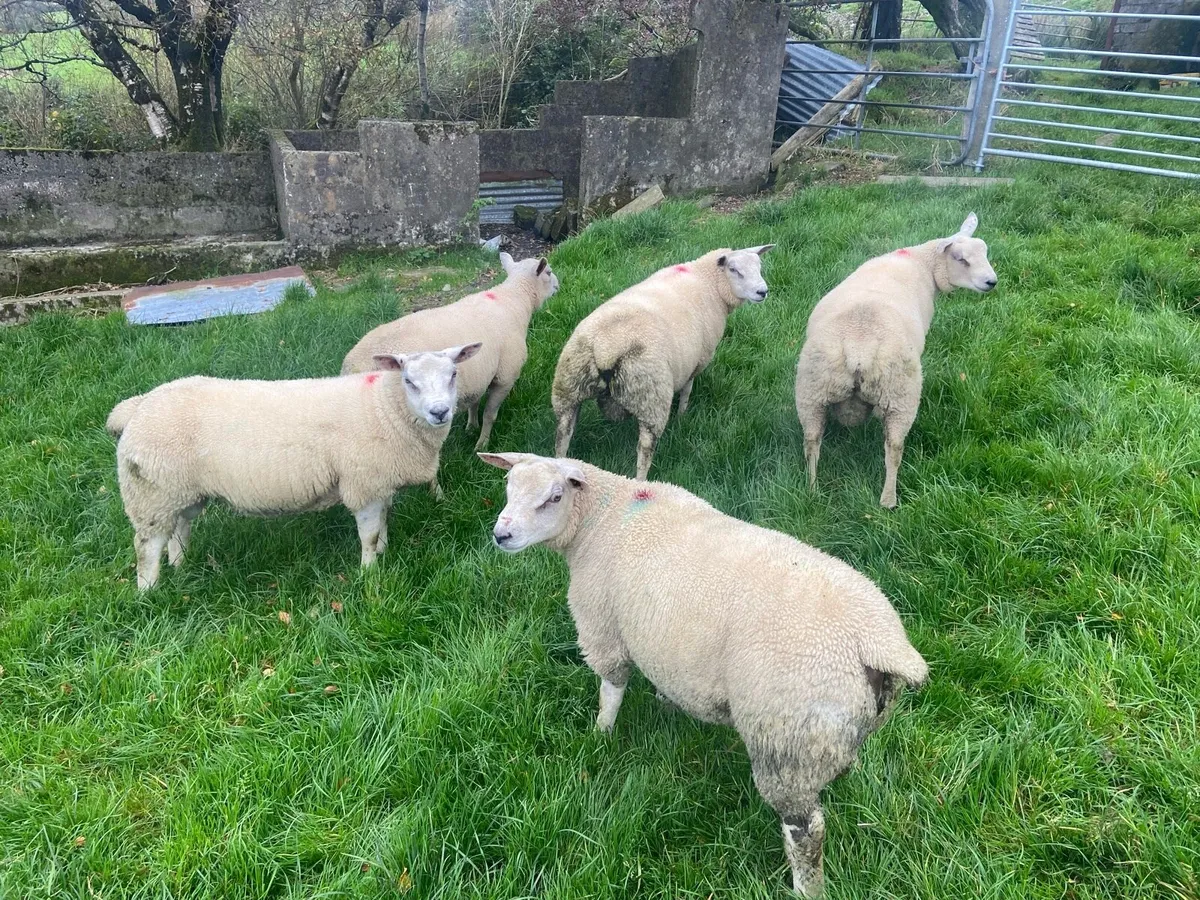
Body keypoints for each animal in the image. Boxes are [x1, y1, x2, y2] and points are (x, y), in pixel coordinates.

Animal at [106, 343, 481, 590]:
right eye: (409, 381)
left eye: (453, 374)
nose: (440, 412)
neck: (387, 408)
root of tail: (138, 407)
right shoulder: (362, 482)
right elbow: (370, 533)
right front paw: (369, 573)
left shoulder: (378, 482)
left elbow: (384, 520)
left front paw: (384, 552)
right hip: (151, 493)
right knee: (147, 546)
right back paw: (150, 591)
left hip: (179, 491)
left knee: (179, 529)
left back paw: (181, 565)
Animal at [342, 252, 559, 453]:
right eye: (548, 272)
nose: (558, 285)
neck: (515, 299)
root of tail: (352, 366)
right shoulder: (505, 376)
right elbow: (490, 414)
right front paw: (482, 444)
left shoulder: (478, 373)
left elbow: (474, 403)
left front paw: (471, 427)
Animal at [479, 451, 928, 897]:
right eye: (508, 488)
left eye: (554, 497)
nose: (501, 536)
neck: (601, 520)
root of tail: (877, 644)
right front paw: (663, 703)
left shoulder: (603, 627)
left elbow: (612, 688)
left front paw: (601, 734)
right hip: (829, 733)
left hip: (785, 739)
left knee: (806, 830)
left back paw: (806, 887)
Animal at [551, 246, 773, 480]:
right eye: (734, 270)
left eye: (759, 267)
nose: (762, 292)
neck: (706, 280)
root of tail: (606, 349)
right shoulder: (697, 360)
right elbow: (687, 389)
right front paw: (682, 415)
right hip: (651, 398)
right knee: (645, 449)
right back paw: (641, 480)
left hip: (569, 387)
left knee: (563, 435)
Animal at [795, 213, 997, 508]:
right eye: (961, 259)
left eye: (985, 252)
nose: (992, 282)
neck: (919, 261)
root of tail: (859, 348)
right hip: (900, 392)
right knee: (893, 448)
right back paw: (888, 500)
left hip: (812, 390)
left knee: (811, 442)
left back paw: (812, 491)